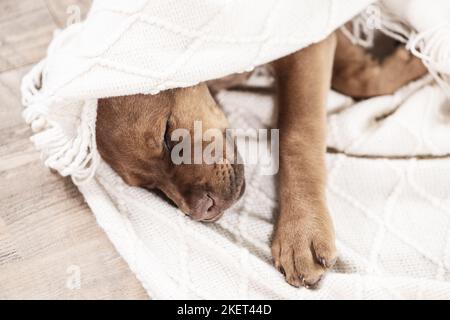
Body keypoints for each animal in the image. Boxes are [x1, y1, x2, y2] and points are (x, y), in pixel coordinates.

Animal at [95, 29, 426, 288]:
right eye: (150, 186)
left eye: (166, 135)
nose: (202, 212)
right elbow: (353, 74)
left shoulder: (302, 44)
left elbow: (299, 132)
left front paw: (301, 229)